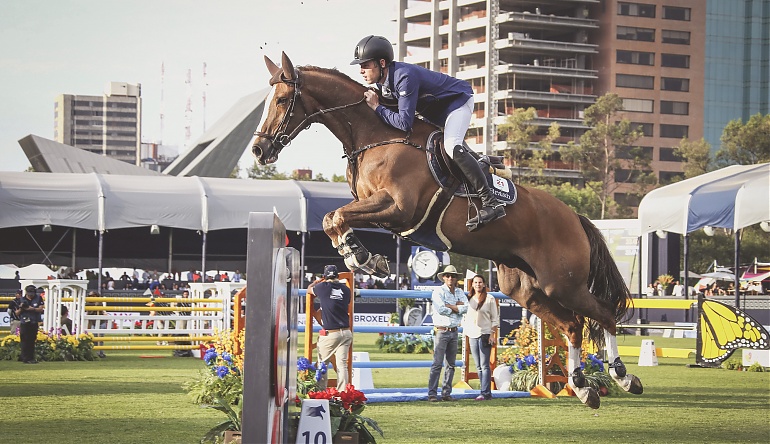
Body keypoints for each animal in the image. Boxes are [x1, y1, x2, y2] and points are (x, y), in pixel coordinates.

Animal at [254, 53, 640, 410]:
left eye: (281, 100)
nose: (260, 149)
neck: (376, 137)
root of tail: (575, 216)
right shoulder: (380, 211)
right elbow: (333, 218)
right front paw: (363, 257)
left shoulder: (397, 208)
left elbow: (334, 217)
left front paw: (361, 256)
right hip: (526, 289)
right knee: (573, 325)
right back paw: (583, 386)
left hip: (563, 282)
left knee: (604, 313)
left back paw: (622, 377)